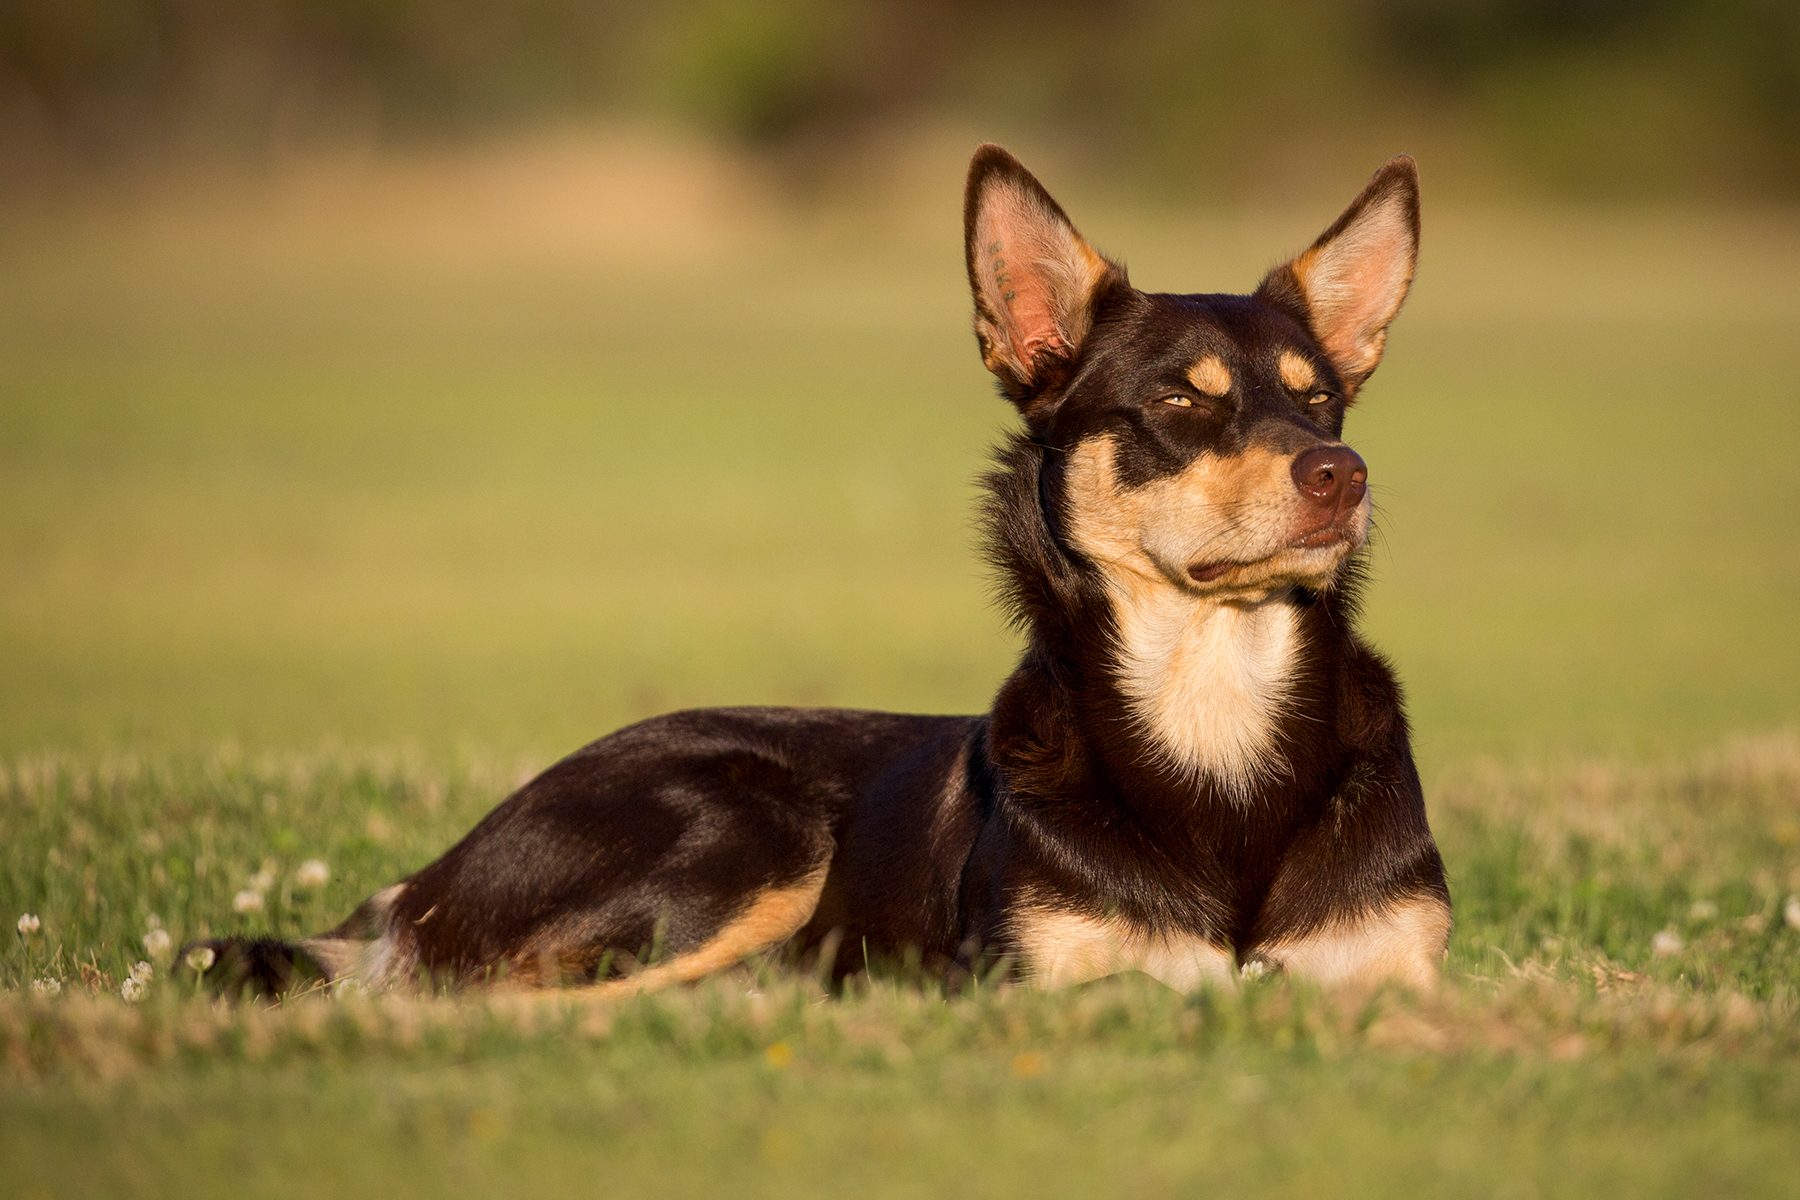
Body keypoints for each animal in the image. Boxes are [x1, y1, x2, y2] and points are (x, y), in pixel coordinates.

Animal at [186, 145, 1447, 1000]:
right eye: (1184, 403)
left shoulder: (1392, 972)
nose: (1342, 474)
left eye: (1322, 401)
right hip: (749, 828)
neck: (1216, 710)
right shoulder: (1040, 981)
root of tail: (426, 883)